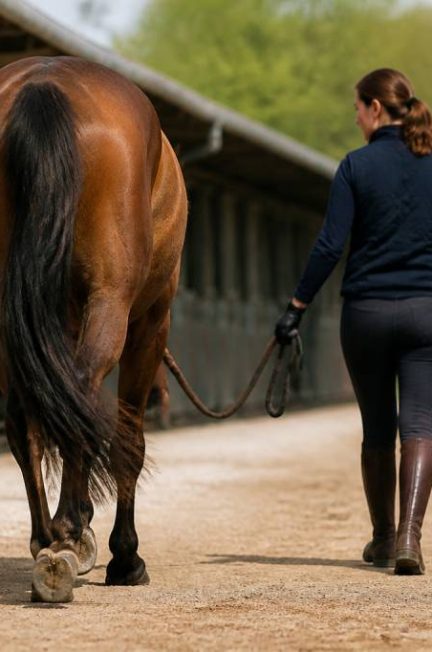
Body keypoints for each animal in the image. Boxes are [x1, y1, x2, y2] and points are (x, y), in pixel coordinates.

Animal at [0, 56, 187, 602]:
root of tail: (42, 85)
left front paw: (76, 532)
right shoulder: (150, 322)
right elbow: (128, 439)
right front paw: (123, 557)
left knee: (26, 418)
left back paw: (47, 541)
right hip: (114, 305)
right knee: (82, 393)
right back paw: (67, 541)